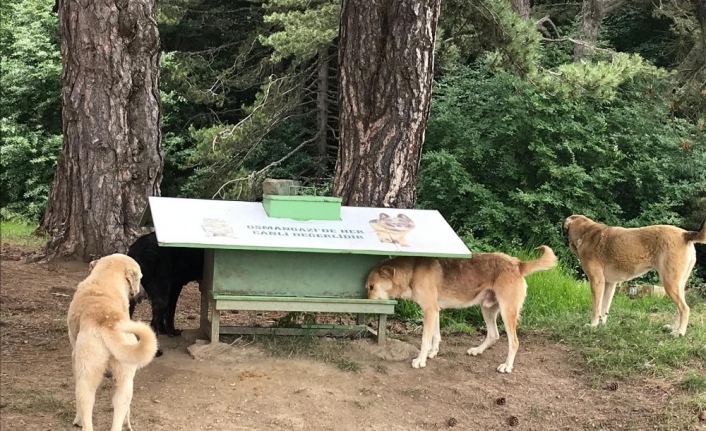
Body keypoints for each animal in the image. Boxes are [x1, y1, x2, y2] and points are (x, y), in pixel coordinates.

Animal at [67, 255, 157, 430]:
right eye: (141, 278)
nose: (144, 295)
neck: (105, 278)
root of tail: (108, 324)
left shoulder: (74, 357)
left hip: (88, 378)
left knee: (86, 408)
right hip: (125, 382)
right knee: (121, 410)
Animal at [364, 248, 556, 372]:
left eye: (372, 287)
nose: (365, 307)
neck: (412, 272)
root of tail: (517, 263)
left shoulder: (429, 310)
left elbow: (425, 340)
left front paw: (420, 360)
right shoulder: (435, 310)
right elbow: (436, 336)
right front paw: (433, 353)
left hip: (507, 312)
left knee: (514, 342)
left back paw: (507, 366)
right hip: (487, 309)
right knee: (493, 335)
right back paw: (477, 350)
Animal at [560, 214, 704, 336]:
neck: (586, 233)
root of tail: (685, 234)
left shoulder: (596, 281)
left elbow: (596, 307)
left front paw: (593, 325)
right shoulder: (610, 284)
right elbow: (604, 307)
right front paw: (602, 325)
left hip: (669, 283)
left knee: (684, 308)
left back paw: (679, 332)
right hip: (678, 284)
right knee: (679, 308)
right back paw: (673, 328)